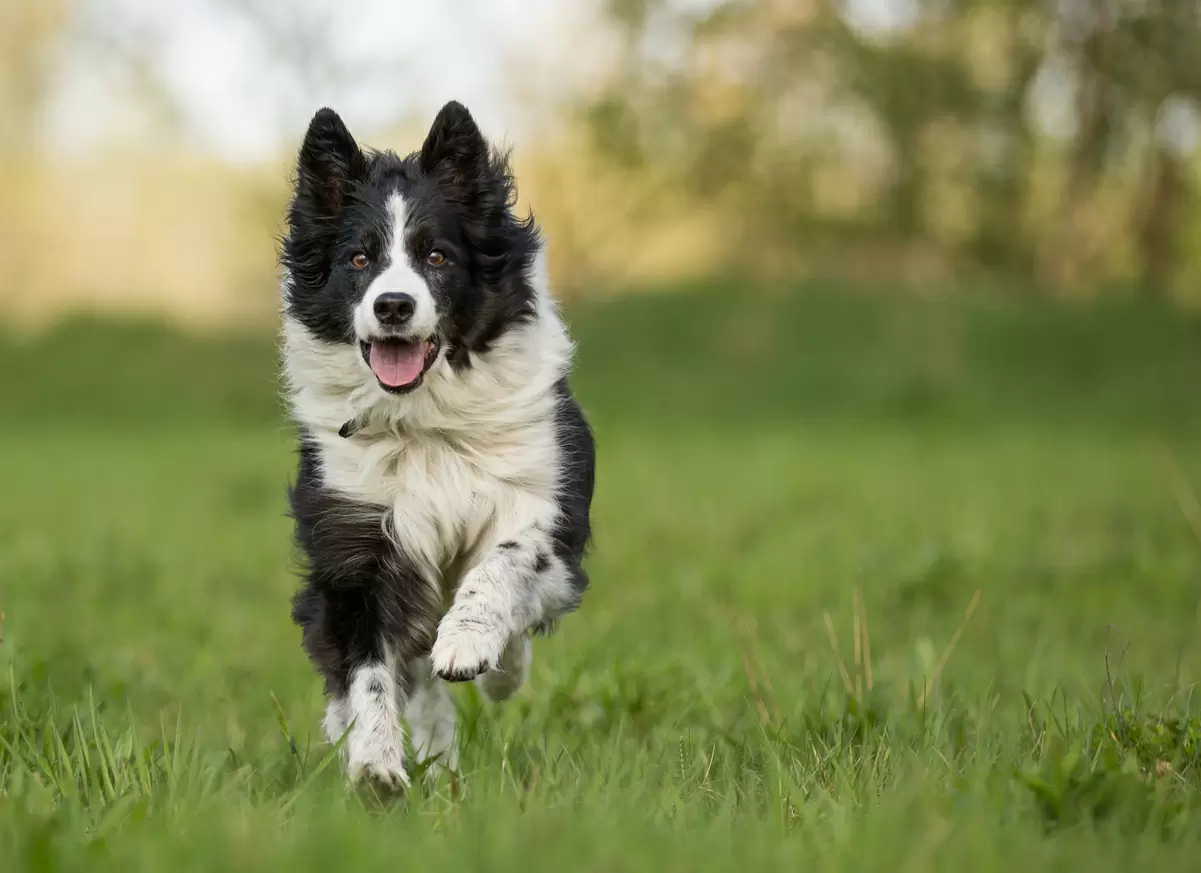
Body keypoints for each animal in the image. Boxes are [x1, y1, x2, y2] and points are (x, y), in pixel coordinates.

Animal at [282, 99, 600, 787]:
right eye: (358, 260)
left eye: (436, 256)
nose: (394, 307)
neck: (424, 419)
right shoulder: (357, 541)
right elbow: (369, 669)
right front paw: (375, 765)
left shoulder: (546, 504)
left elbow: (505, 562)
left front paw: (470, 644)